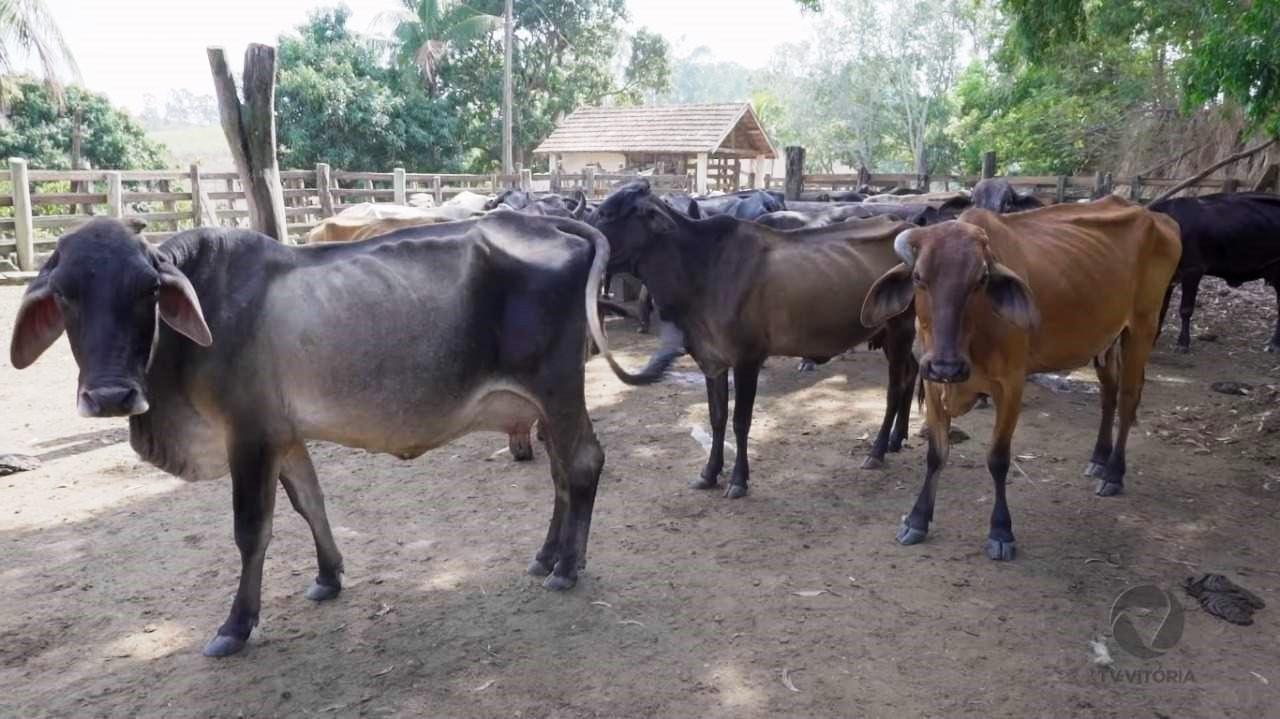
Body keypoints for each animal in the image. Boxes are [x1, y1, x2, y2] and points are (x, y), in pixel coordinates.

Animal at [8, 213, 619, 655]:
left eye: (148, 291)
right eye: (63, 294)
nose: (111, 395)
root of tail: (555, 224)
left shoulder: (248, 436)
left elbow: (251, 531)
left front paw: (236, 626)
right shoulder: (283, 436)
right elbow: (310, 502)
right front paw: (329, 576)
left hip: (558, 388)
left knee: (583, 462)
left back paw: (567, 567)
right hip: (545, 404)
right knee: (561, 472)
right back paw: (547, 555)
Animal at [588, 179, 921, 496]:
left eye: (607, 213)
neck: (702, 268)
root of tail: (905, 225)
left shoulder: (748, 358)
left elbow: (741, 421)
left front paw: (738, 480)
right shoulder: (712, 359)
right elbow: (717, 417)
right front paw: (709, 473)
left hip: (900, 329)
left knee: (895, 387)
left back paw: (878, 450)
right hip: (893, 335)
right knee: (912, 372)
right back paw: (897, 438)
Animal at [860, 195, 1177, 560]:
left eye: (981, 279)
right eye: (918, 277)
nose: (947, 367)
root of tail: (1157, 218)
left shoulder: (1010, 385)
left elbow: (998, 459)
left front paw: (1001, 531)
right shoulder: (932, 381)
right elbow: (936, 454)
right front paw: (917, 519)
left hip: (1142, 326)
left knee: (1127, 398)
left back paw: (1113, 472)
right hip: (1106, 340)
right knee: (1108, 394)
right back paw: (1098, 458)